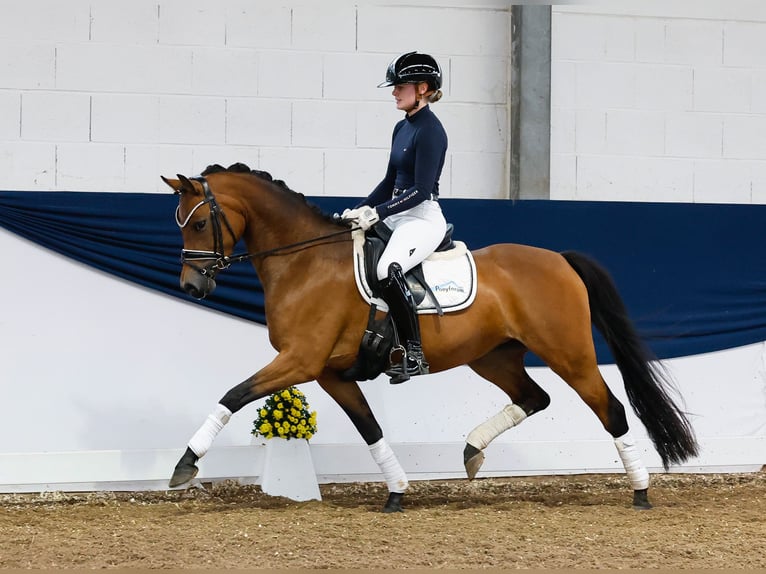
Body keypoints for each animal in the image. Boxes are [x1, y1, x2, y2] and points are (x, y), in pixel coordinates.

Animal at [164, 162, 704, 512]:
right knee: (535, 397)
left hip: (569, 354)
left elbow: (233, 394)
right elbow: (370, 429)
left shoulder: (300, 360)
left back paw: (640, 492)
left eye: (201, 221)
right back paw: (472, 450)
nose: (191, 287)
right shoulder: (329, 373)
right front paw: (397, 491)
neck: (305, 260)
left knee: (610, 409)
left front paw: (185, 464)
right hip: (492, 357)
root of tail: (559, 259)